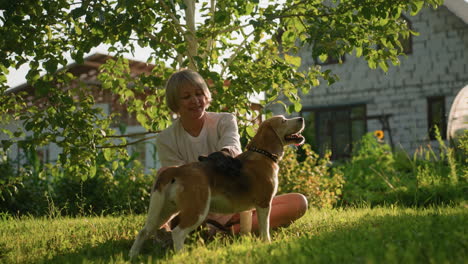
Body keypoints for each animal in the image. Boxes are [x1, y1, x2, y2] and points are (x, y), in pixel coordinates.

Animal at [129, 115, 304, 256]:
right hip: (197, 210)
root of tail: (177, 170)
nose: (301, 118)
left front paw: (246, 244)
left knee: (144, 232)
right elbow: (265, 228)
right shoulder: (264, 204)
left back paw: (133, 255)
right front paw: (267, 244)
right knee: (177, 233)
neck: (262, 154)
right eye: (283, 121)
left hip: (164, 211)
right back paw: (182, 255)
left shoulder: (247, 209)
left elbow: (246, 228)